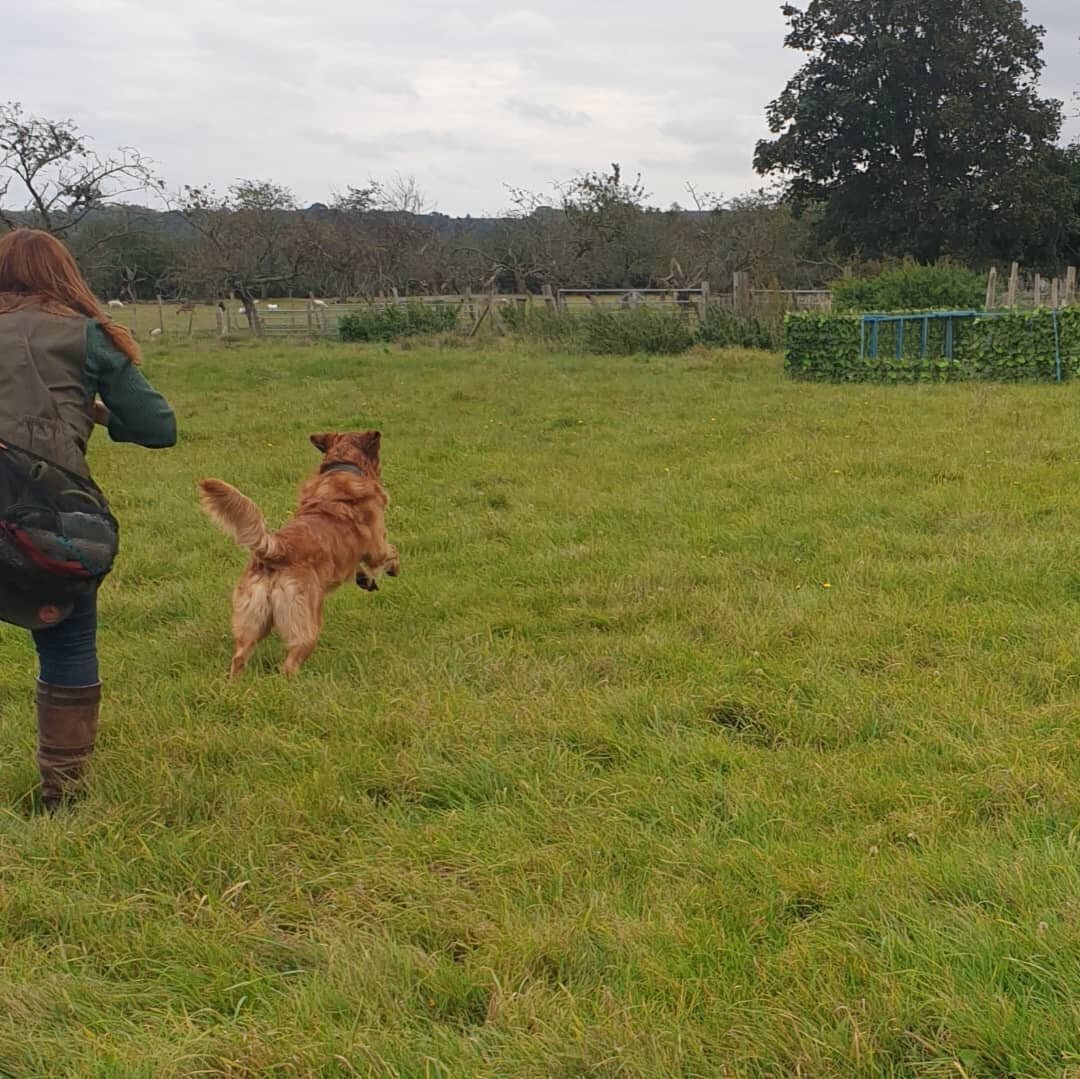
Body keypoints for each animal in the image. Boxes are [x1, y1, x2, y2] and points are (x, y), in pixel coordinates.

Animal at [196, 429, 399, 673]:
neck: (342, 469)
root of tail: (275, 549)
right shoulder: (376, 546)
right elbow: (391, 552)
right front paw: (393, 569)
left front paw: (365, 579)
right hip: (305, 624)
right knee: (289, 665)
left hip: (251, 621)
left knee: (239, 659)